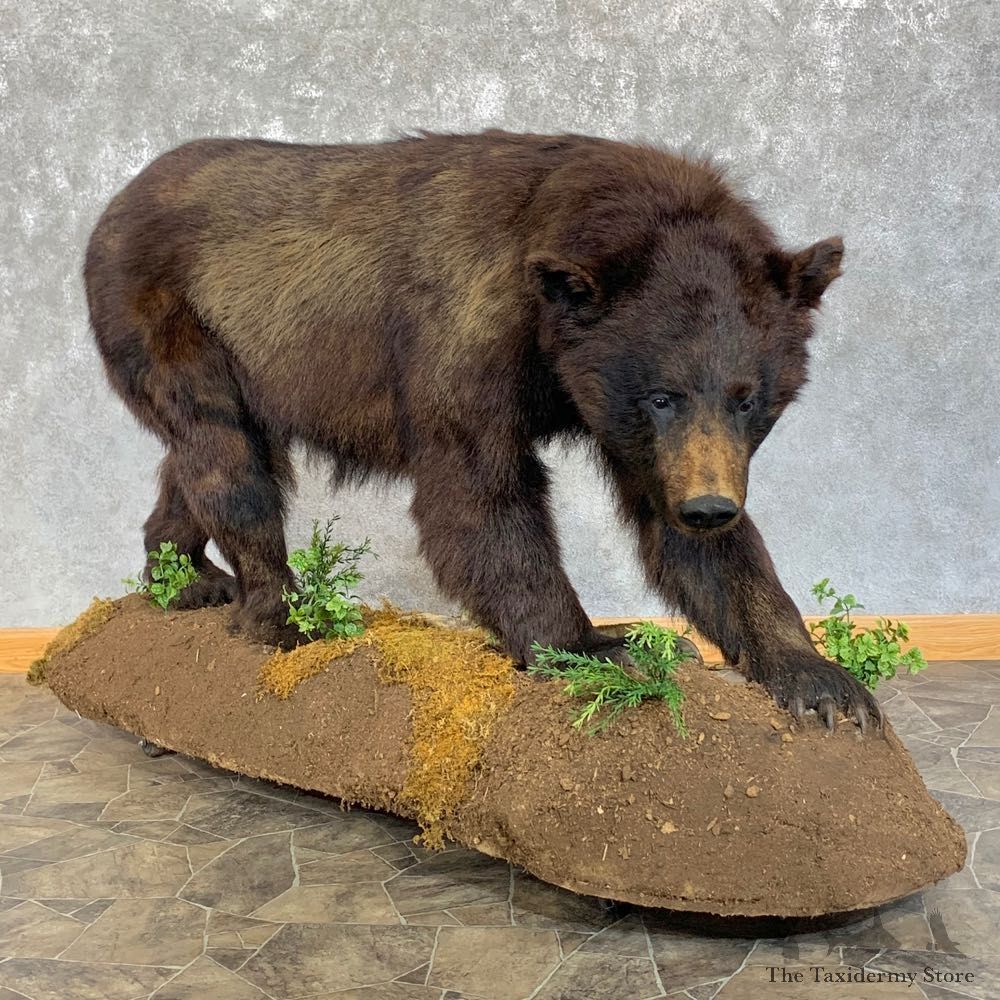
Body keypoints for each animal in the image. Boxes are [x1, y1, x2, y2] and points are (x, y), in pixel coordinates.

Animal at [84, 129, 879, 731]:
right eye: (662, 395)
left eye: (749, 398)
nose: (710, 505)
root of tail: (120, 196)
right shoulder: (470, 334)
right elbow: (480, 496)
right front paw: (596, 644)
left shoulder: (644, 435)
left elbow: (691, 546)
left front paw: (825, 684)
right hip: (171, 317)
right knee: (227, 457)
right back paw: (280, 612)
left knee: (203, 457)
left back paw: (184, 578)